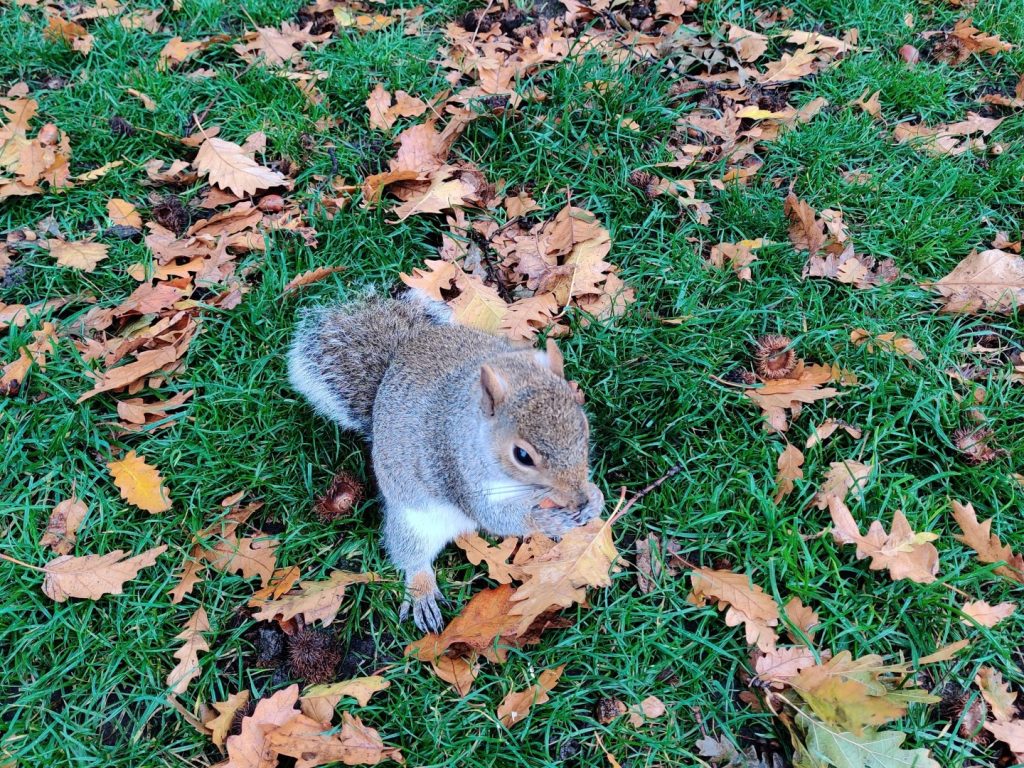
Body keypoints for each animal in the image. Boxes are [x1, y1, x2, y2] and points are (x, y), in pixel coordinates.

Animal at [288, 288, 602, 630]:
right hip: (413, 520)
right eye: (522, 456)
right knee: (411, 555)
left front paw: (595, 500)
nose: (578, 498)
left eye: (584, 424)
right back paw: (422, 593)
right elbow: (499, 518)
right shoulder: (459, 472)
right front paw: (547, 520)